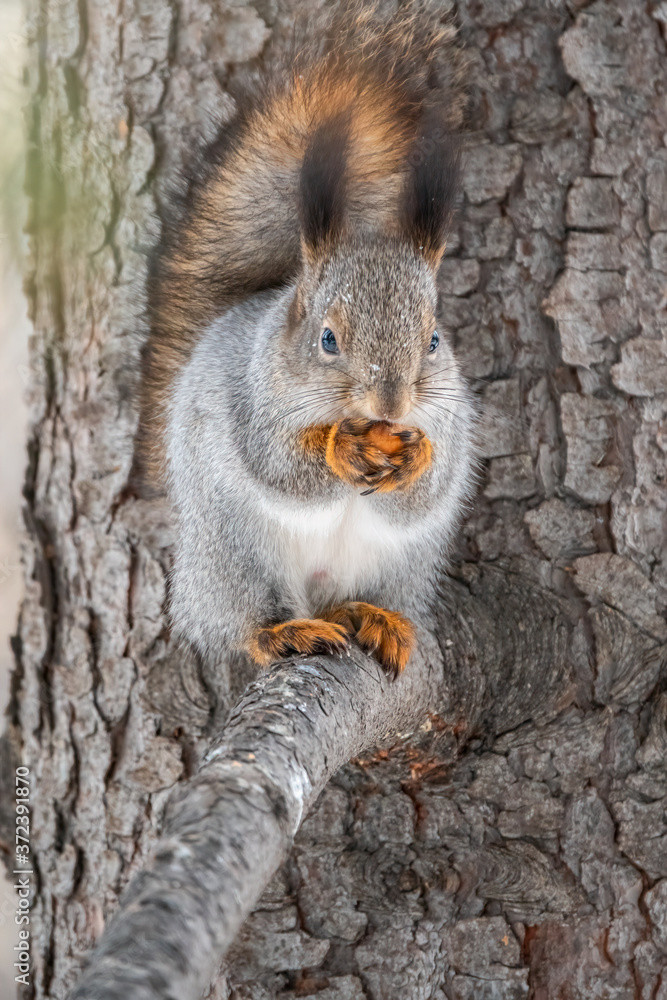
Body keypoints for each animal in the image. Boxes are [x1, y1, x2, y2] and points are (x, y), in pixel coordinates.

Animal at [136, 2, 477, 678]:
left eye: (432, 340)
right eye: (327, 340)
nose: (392, 406)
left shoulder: (453, 419)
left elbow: (427, 490)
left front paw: (416, 457)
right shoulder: (248, 398)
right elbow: (280, 465)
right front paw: (340, 447)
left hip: (401, 567)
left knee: (359, 595)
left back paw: (373, 617)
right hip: (232, 557)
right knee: (234, 622)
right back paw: (281, 633)